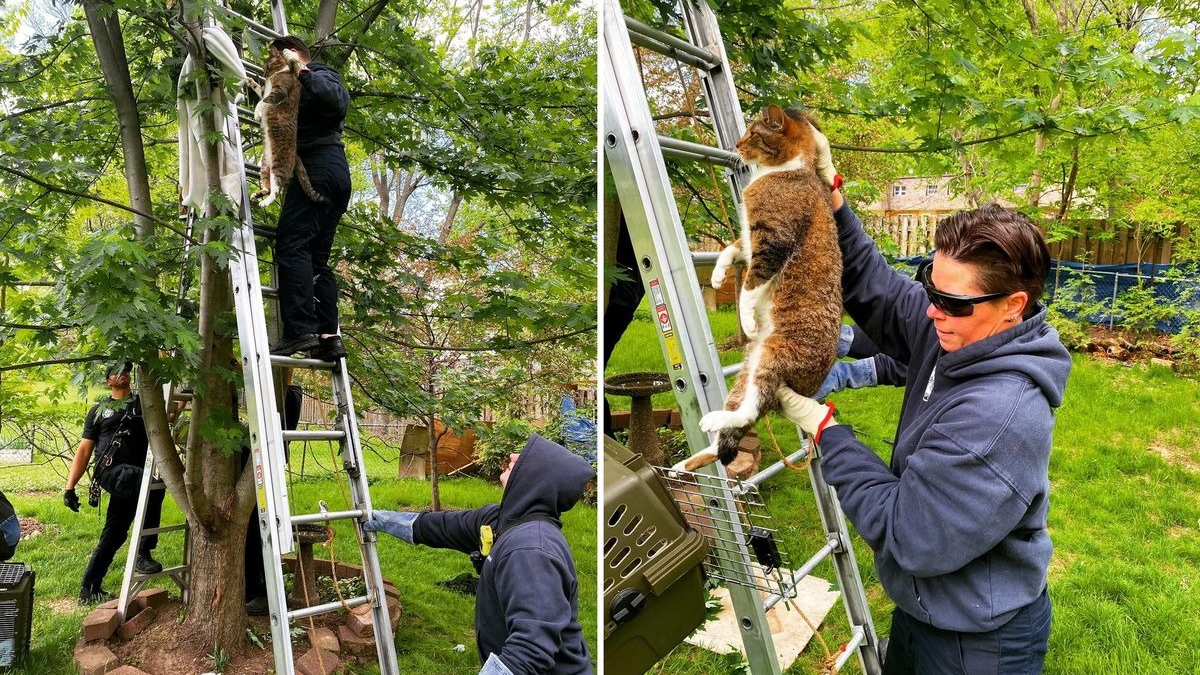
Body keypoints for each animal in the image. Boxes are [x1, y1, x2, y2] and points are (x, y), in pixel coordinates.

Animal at [246, 48, 328, 206]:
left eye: (267, 66)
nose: (264, 74)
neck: (280, 71)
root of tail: (296, 155)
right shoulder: (266, 90)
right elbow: (260, 90)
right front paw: (250, 81)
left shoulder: (279, 90)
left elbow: (264, 101)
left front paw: (257, 112)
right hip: (265, 165)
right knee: (267, 187)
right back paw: (258, 195)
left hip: (279, 164)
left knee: (276, 189)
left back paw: (265, 202)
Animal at [681, 106, 840, 473]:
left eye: (753, 134)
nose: (737, 144)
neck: (786, 170)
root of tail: (809, 388)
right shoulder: (751, 241)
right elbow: (731, 248)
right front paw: (717, 276)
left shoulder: (773, 243)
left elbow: (750, 287)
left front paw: (747, 317)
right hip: (747, 367)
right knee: (733, 430)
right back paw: (688, 462)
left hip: (772, 356)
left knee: (750, 411)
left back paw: (713, 420)